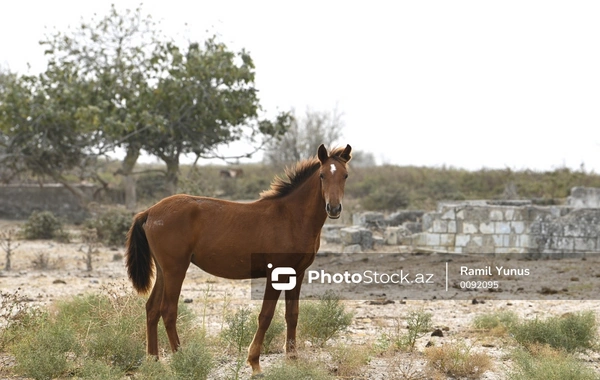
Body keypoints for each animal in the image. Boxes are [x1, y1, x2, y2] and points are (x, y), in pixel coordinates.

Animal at [126, 144, 352, 376]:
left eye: (345, 175)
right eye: (322, 175)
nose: (334, 208)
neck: (291, 217)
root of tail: (150, 212)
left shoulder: (297, 273)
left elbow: (292, 314)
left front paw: (292, 358)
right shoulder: (275, 273)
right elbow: (266, 315)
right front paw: (255, 363)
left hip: (164, 271)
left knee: (152, 308)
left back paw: (153, 361)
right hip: (175, 270)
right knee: (168, 311)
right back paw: (182, 359)